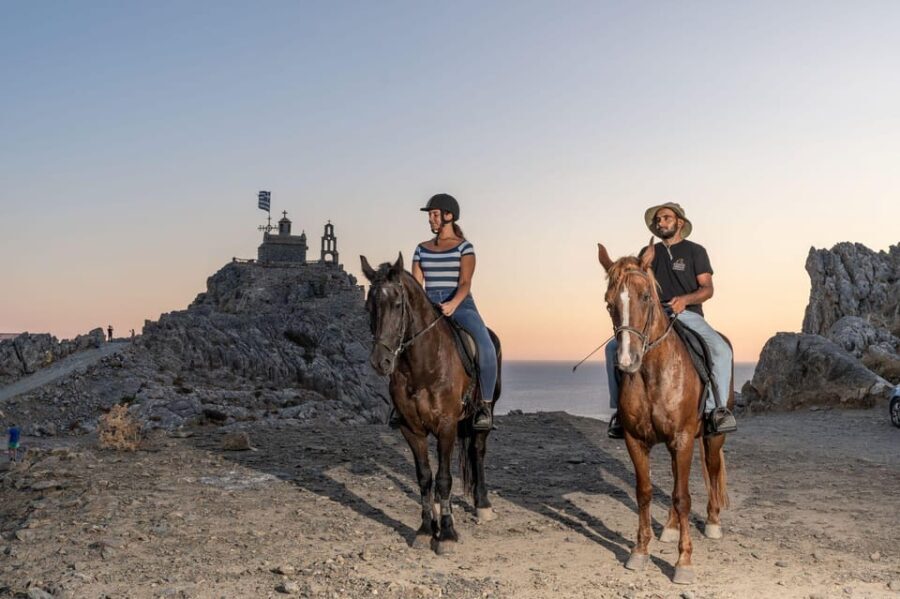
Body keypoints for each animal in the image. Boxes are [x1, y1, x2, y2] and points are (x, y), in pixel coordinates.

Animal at [360, 253, 502, 555]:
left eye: (398, 304)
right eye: (369, 306)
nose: (380, 361)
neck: (423, 364)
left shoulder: (447, 425)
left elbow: (445, 478)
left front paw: (446, 533)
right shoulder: (411, 429)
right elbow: (425, 477)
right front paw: (427, 528)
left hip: (482, 414)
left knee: (478, 451)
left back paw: (483, 505)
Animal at [598, 241, 731, 585]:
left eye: (646, 296)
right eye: (608, 303)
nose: (627, 360)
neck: (652, 373)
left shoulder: (682, 438)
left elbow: (683, 497)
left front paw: (684, 562)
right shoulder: (635, 440)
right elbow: (645, 492)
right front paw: (640, 551)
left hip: (712, 439)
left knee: (711, 471)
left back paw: (713, 523)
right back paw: (669, 528)